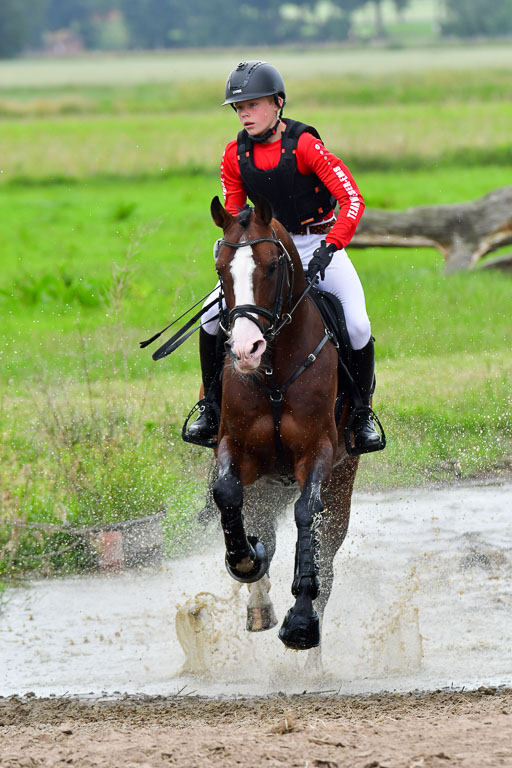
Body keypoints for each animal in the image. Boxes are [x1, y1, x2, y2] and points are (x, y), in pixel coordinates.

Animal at [208, 194, 360, 652]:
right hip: (265, 483)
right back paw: (259, 604)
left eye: (272, 266)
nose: (245, 350)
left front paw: (302, 621)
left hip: (343, 481)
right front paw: (245, 560)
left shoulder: (318, 451)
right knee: (260, 526)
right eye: (220, 268)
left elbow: (307, 513)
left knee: (327, 559)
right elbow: (227, 495)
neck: (273, 372)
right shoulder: (236, 448)